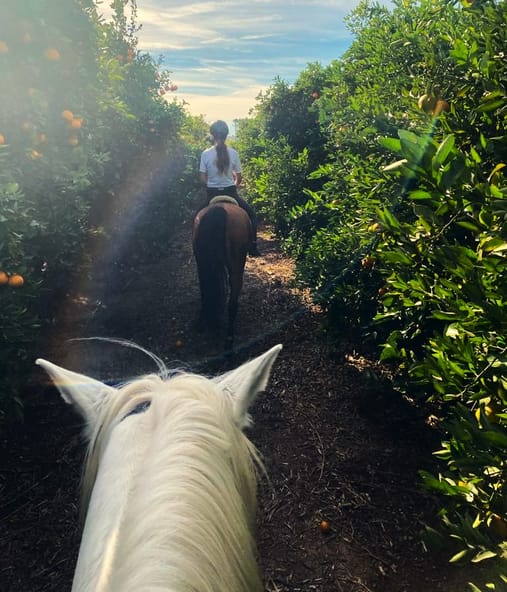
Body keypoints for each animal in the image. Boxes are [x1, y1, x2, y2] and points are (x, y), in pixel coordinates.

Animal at [192, 197, 252, 350]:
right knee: (232, 300)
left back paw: (203, 321)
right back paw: (229, 338)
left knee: (205, 290)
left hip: (202, 263)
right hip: (237, 264)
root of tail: (218, 210)